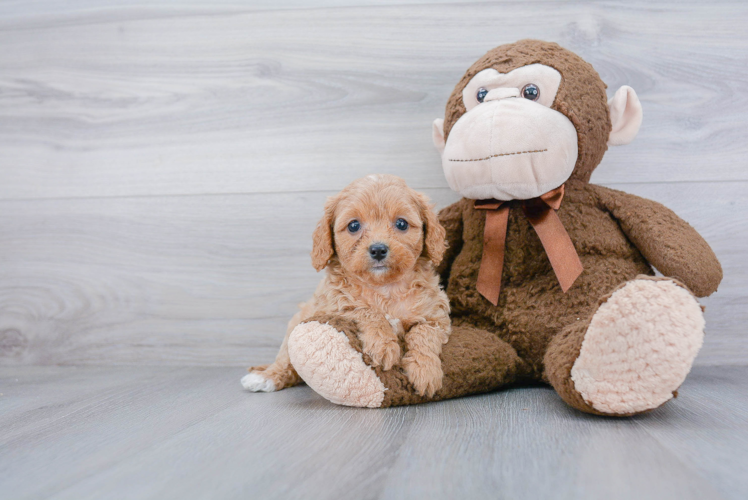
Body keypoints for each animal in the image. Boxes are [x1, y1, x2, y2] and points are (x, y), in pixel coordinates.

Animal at [243, 174, 450, 396]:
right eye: (353, 226)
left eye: (402, 223)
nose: (378, 249)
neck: (383, 287)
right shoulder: (333, 307)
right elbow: (366, 311)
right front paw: (384, 346)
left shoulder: (436, 315)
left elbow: (425, 333)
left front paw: (425, 371)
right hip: (295, 326)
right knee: (285, 363)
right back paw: (265, 377)